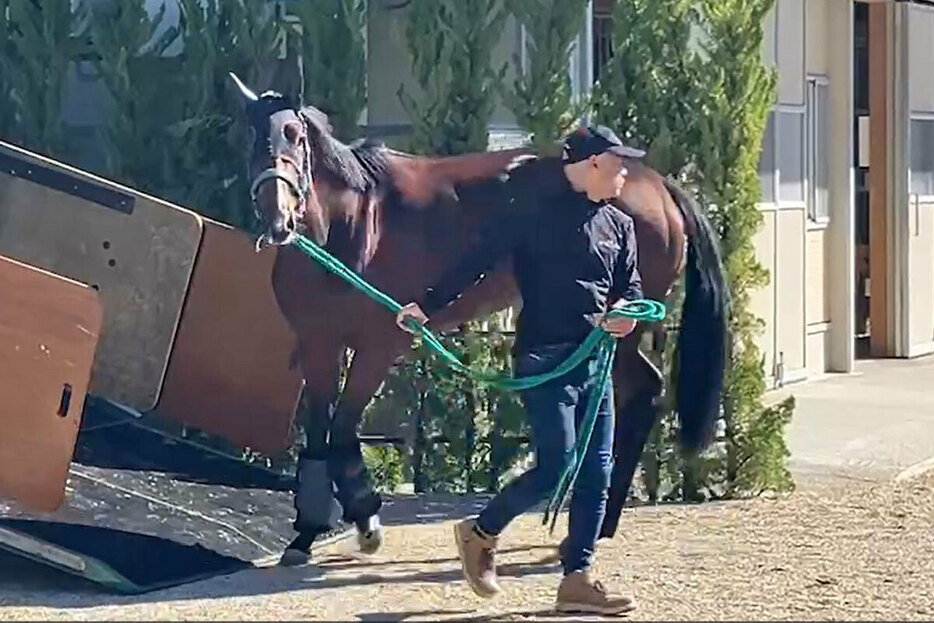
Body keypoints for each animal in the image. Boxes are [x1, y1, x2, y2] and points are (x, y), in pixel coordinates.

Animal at [230, 74, 728, 564]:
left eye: (295, 136)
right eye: (252, 136)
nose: (277, 218)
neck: (349, 227)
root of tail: (657, 184)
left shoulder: (377, 347)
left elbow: (341, 431)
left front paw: (367, 520)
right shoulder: (318, 343)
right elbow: (318, 437)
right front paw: (307, 532)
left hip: (618, 328)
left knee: (641, 391)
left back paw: (600, 525)